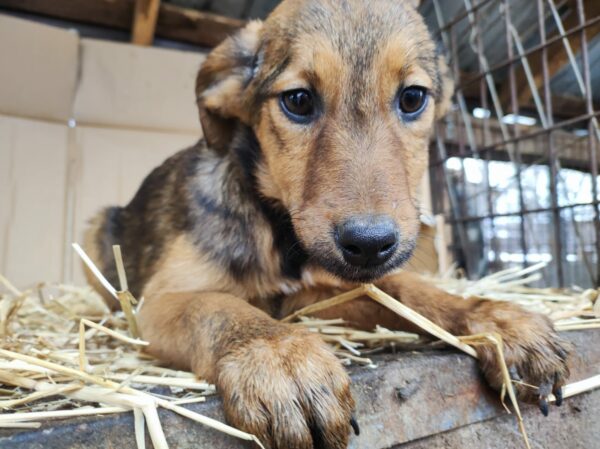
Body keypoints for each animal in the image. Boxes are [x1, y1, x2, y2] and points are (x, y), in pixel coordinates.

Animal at [83, 1, 568, 446]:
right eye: (298, 100)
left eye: (412, 98)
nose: (370, 244)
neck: (281, 237)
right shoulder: (159, 301)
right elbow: (220, 309)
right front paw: (280, 359)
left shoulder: (321, 292)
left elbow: (407, 292)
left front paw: (494, 318)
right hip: (95, 227)